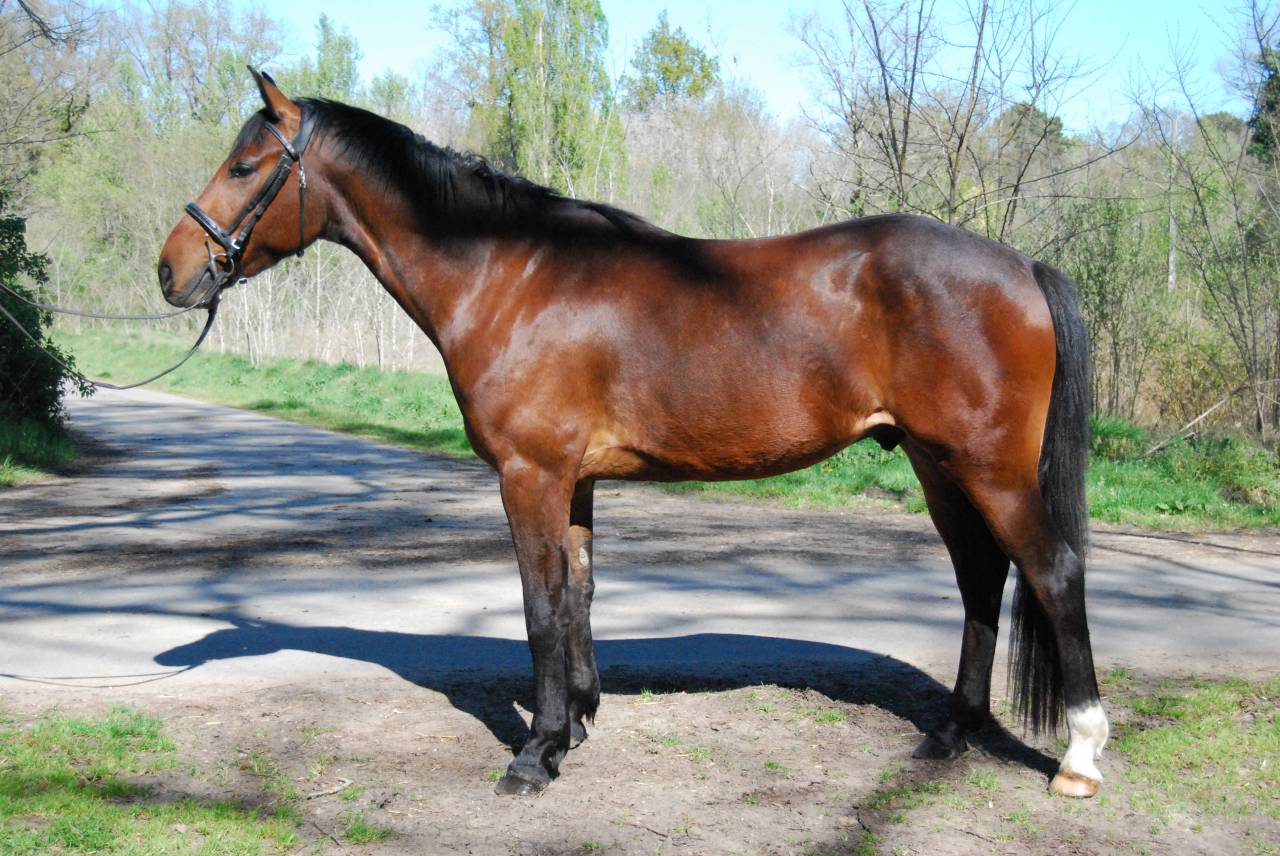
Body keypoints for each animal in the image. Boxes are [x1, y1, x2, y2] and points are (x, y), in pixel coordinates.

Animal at [157, 69, 1108, 799]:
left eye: (246, 165)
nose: (172, 270)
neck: (511, 275)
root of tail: (1022, 266)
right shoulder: (574, 480)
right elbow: (578, 597)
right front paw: (575, 725)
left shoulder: (530, 474)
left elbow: (540, 606)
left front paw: (533, 756)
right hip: (937, 465)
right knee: (982, 578)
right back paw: (950, 733)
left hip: (988, 468)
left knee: (1051, 572)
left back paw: (1080, 757)